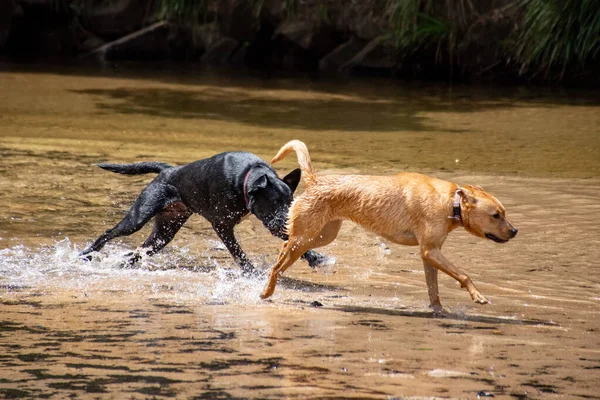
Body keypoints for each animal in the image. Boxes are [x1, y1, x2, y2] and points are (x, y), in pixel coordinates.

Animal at [81, 152, 326, 274]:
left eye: (290, 203)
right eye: (274, 201)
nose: (288, 219)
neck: (247, 178)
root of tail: (169, 170)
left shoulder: (274, 224)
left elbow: (295, 241)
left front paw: (315, 257)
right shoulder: (223, 225)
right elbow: (238, 252)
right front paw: (250, 271)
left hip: (165, 231)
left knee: (142, 250)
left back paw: (123, 265)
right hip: (140, 215)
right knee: (108, 233)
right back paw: (85, 255)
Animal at [260, 141, 516, 312]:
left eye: (503, 213)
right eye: (496, 215)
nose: (515, 231)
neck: (450, 203)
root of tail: (315, 180)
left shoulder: (430, 253)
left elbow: (433, 288)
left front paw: (438, 310)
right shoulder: (430, 251)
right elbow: (463, 275)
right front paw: (478, 296)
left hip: (321, 236)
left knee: (284, 249)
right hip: (306, 237)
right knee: (278, 265)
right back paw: (266, 292)